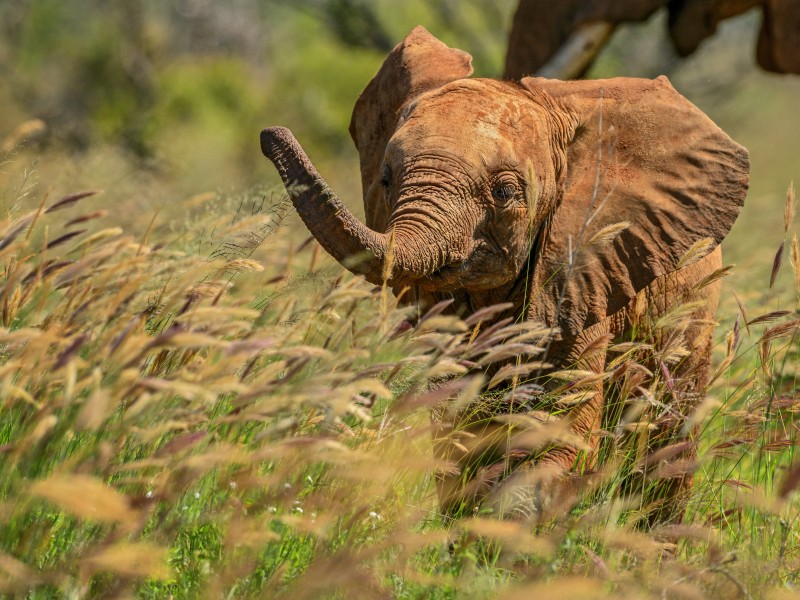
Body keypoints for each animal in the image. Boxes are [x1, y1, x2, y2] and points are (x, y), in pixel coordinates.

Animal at [260, 26, 749, 525]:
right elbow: (460, 438)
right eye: (386, 179)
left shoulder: (580, 272)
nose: (270, 134)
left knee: (669, 428)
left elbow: (562, 436)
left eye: (506, 191)